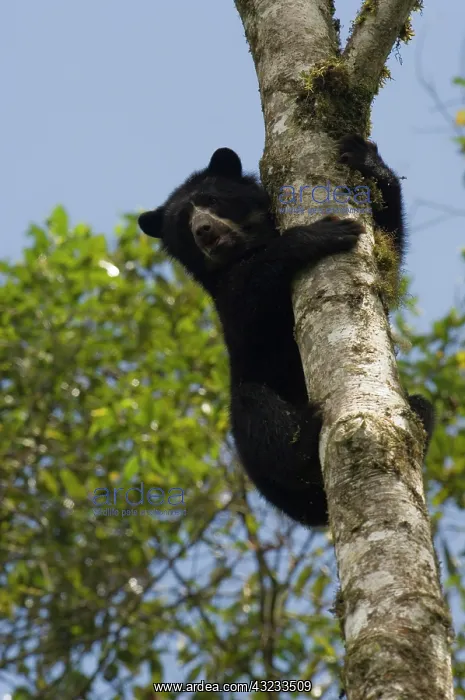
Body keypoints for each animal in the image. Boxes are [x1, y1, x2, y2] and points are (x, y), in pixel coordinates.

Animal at [138, 137, 434, 527]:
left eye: (212, 201)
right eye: (182, 223)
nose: (204, 230)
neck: (246, 247)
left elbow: (388, 254)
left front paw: (366, 159)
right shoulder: (227, 296)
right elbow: (248, 312)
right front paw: (321, 234)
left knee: (422, 406)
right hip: (257, 446)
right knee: (254, 409)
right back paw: (304, 437)